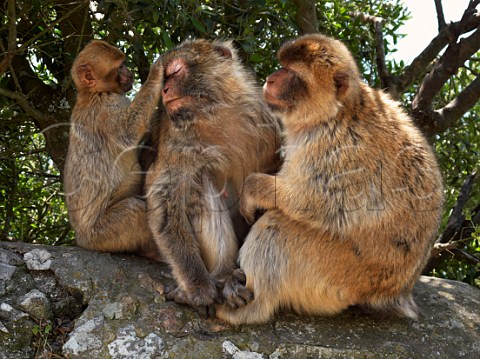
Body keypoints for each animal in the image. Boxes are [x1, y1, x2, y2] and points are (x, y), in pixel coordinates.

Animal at [63, 39, 163, 260]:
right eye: (120, 67)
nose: (130, 72)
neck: (92, 93)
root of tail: (82, 240)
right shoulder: (107, 106)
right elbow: (129, 131)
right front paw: (158, 69)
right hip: (103, 235)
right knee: (135, 210)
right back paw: (155, 253)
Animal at [146, 39, 282, 310]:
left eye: (176, 71)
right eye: (164, 77)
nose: (164, 89)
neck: (215, 116)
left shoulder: (268, 120)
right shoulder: (175, 138)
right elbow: (166, 200)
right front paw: (197, 285)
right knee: (199, 182)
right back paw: (223, 274)